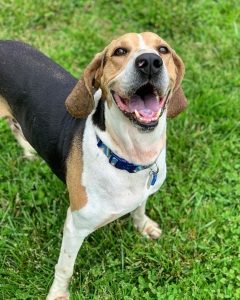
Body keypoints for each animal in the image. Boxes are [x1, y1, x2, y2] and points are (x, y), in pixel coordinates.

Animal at [0, 31, 188, 298]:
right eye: (119, 51)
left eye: (163, 49)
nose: (150, 62)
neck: (127, 157)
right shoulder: (75, 226)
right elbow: (65, 267)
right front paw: (58, 293)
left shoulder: (143, 191)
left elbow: (139, 208)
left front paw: (143, 226)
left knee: (14, 125)